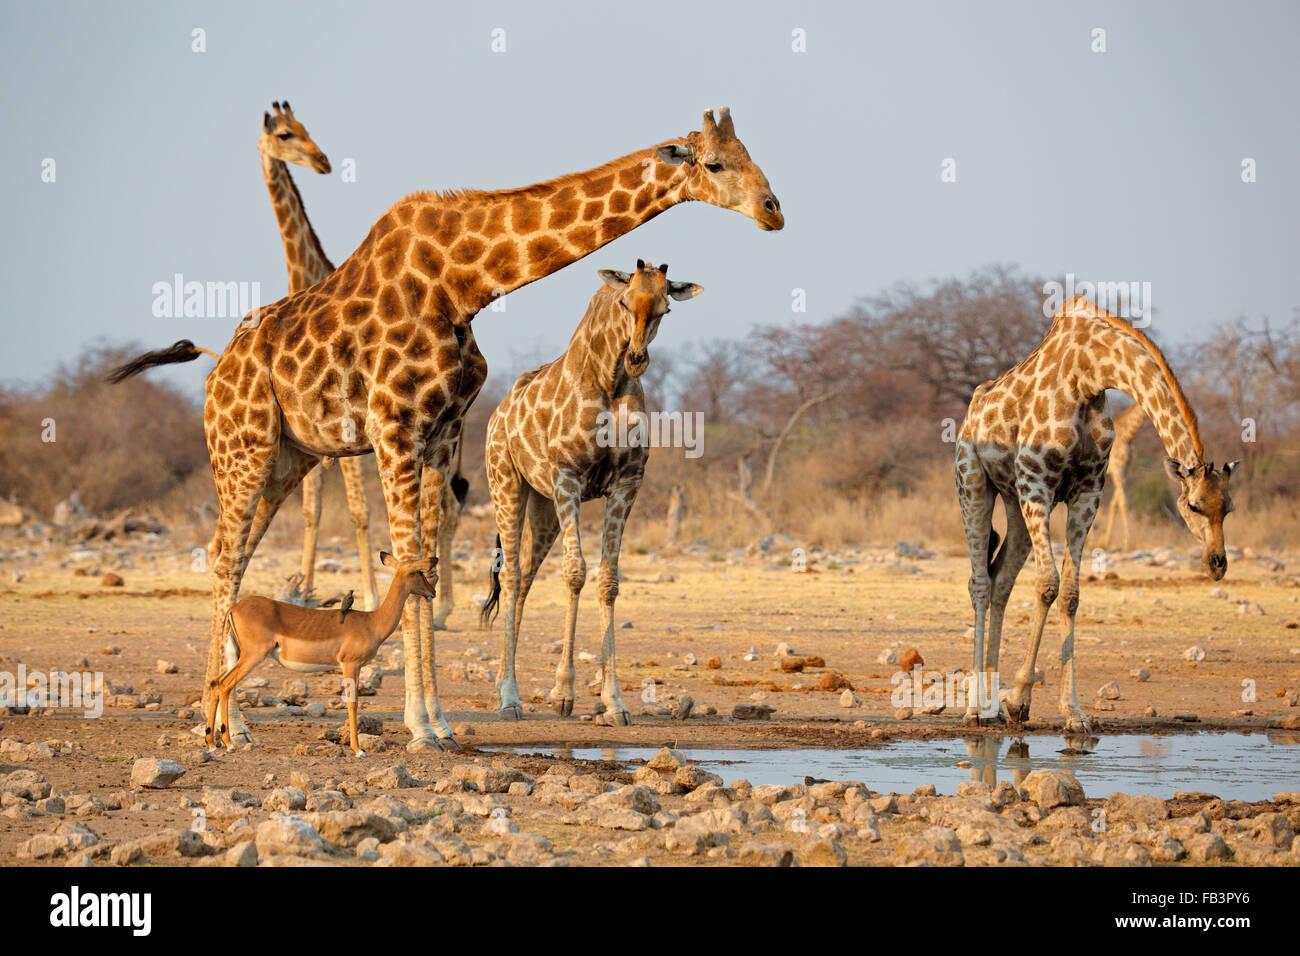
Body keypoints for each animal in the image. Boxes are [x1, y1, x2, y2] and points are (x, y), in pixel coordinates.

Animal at [480, 257, 702, 723]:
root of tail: (497, 414)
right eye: (623, 302)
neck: (609, 381)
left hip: (543, 507)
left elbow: (608, 580)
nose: (636, 358)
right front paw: (563, 692)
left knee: (524, 579)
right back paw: (509, 697)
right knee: (510, 574)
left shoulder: (627, 483)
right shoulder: (569, 476)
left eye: (665, 309)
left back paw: (503, 683)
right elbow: (576, 572)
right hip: (506, 484)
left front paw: (613, 701)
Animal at [1097, 403, 1149, 554]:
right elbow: (1123, 502)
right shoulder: (1117, 471)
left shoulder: (1124, 472)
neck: (1128, 435)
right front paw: (1128, 543)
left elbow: (1114, 503)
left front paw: (1105, 542)